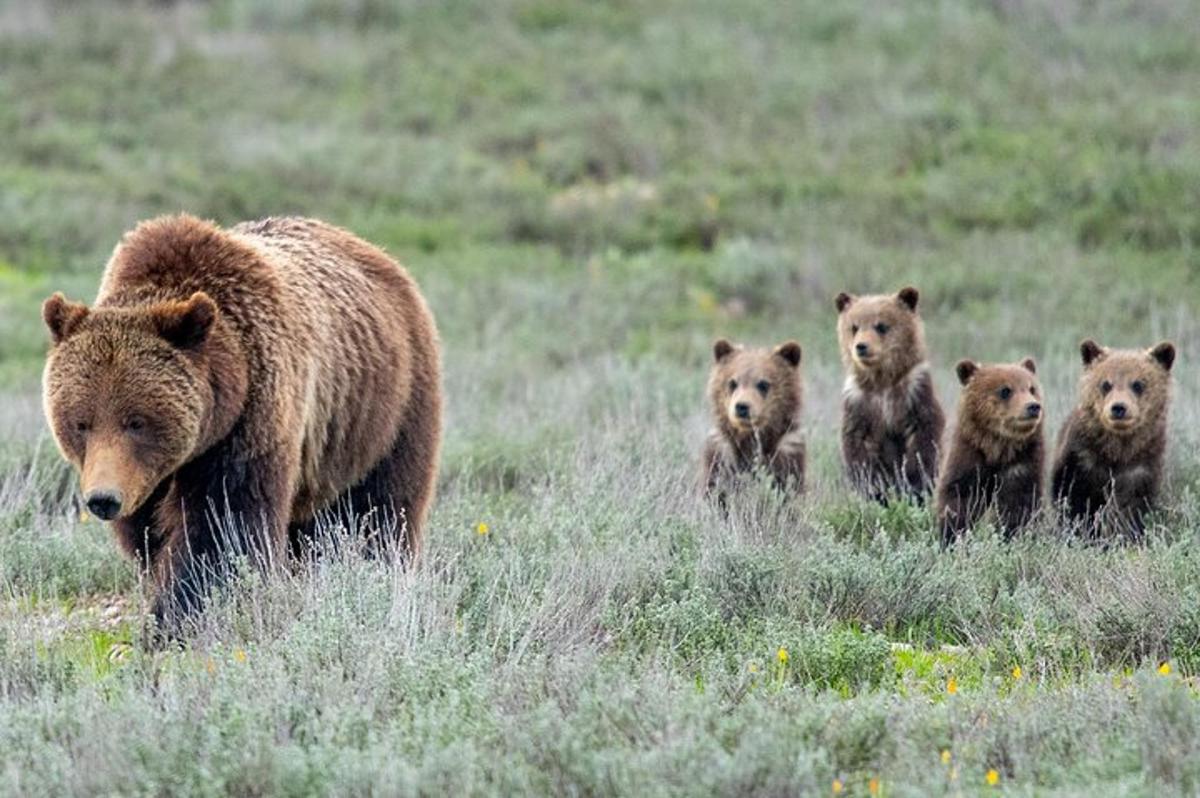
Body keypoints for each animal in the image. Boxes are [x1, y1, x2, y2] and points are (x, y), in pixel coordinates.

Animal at [42, 214, 448, 633]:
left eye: (136, 421)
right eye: (81, 423)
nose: (103, 499)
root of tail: (378, 255)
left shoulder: (249, 423)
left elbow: (222, 528)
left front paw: (176, 619)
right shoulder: (145, 479)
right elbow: (149, 534)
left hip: (384, 411)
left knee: (380, 510)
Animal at [696, 338, 806, 499]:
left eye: (763, 384)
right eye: (732, 383)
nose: (742, 406)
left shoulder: (787, 454)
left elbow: (789, 487)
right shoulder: (721, 455)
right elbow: (715, 488)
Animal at [835, 284, 945, 499]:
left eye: (881, 326)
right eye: (854, 327)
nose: (861, 346)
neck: (882, 381)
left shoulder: (914, 391)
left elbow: (924, 436)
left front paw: (913, 482)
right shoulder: (859, 401)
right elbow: (856, 444)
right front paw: (873, 487)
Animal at [931, 357, 1046, 544]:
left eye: (1032, 388)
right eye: (1005, 390)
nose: (1033, 406)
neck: (997, 447)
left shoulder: (1022, 462)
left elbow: (1018, 504)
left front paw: (1011, 535)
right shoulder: (968, 455)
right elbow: (959, 499)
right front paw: (952, 536)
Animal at [1056, 338, 1176, 537]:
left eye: (1138, 384)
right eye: (1105, 384)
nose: (1119, 407)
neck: (1117, 451)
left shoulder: (1141, 467)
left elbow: (1133, 508)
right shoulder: (1083, 460)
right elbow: (1075, 500)